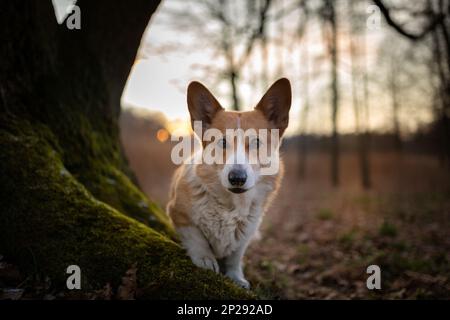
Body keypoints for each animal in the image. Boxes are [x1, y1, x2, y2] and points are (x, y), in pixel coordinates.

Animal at [167, 77, 290, 288]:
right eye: (223, 142)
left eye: (256, 142)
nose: (237, 178)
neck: (231, 205)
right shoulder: (178, 214)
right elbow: (197, 239)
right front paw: (206, 260)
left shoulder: (246, 234)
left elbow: (235, 256)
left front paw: (235, 277)